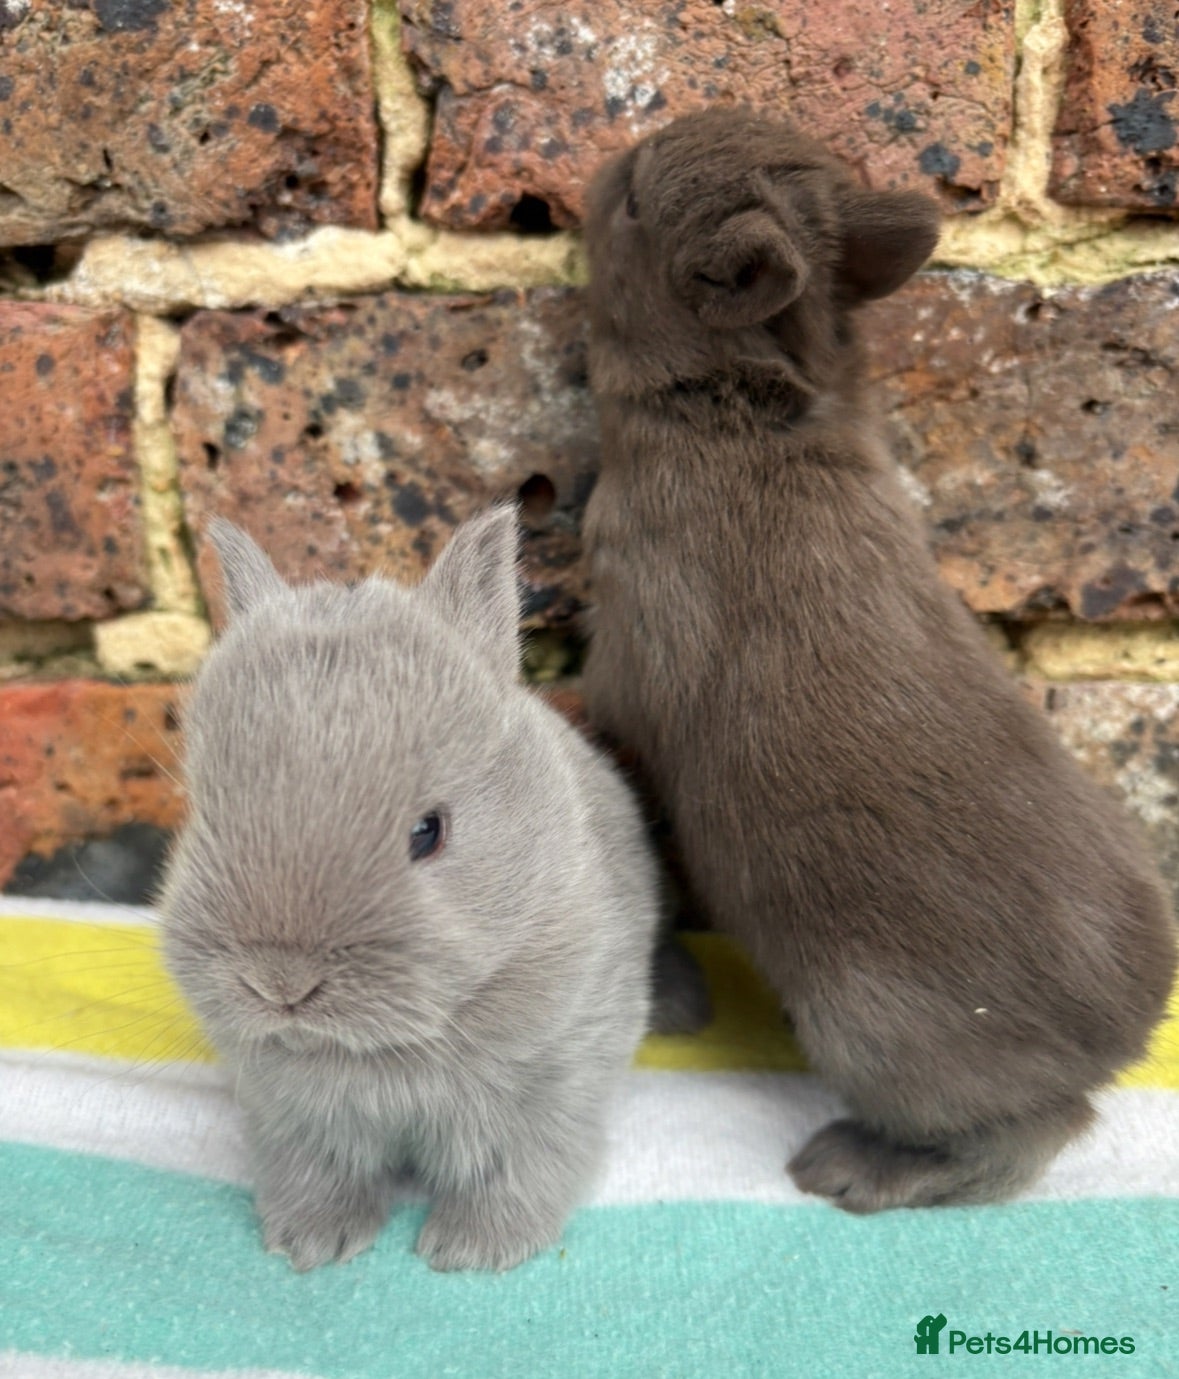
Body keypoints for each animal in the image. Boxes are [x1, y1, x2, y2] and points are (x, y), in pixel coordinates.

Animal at [160, 507, 659, 1270]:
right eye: (202, 811)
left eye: (428, 831)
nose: (280, 985)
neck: (386, 1049)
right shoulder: (290, 1114)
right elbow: (315, 1172)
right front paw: (312, 1243)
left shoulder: (558, 1077)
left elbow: (520, 1170)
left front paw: (472, 1251)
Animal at [579, 107, 1177, 1212]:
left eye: (635, 201)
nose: (611, 159)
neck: (746, 404)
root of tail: (1125, 1036)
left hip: (871, 1029)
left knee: (1029, 1134)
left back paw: (850, 1166)